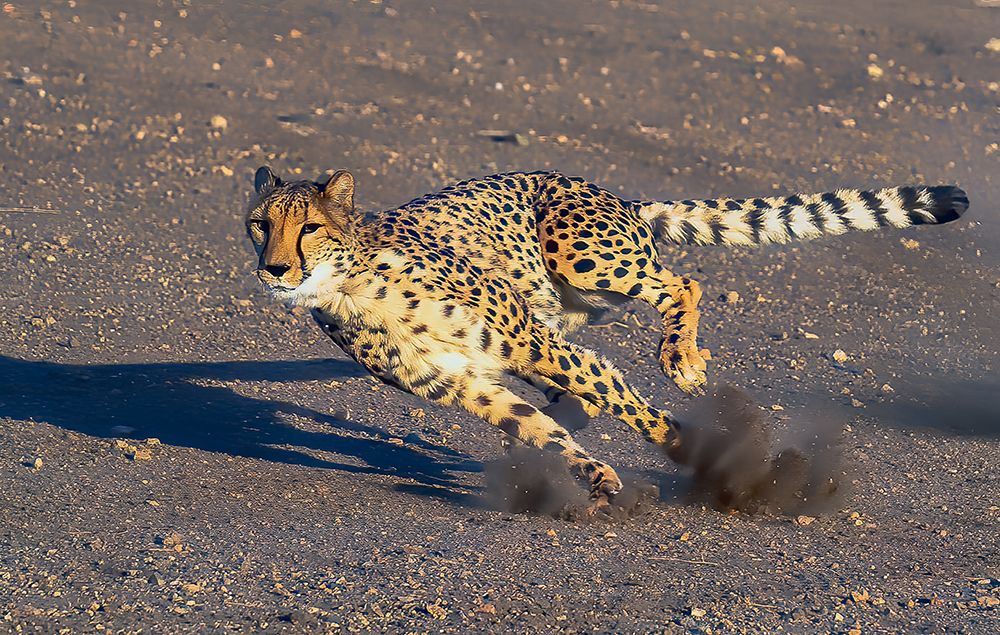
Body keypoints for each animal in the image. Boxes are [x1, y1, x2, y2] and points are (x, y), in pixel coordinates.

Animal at [244, 166, 967, 512]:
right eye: (259, 223)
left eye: (308, 227)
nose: (273, 268)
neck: (352, 285)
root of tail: (615, 195)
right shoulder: (469, 384)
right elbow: (537, 425)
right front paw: (592, 477)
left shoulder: (528, 341)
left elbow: (627, 402)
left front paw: (703, 453)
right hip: (571, 306)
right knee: (580, 389)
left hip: (581, 262)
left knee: (678, 284)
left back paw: (681, 357)